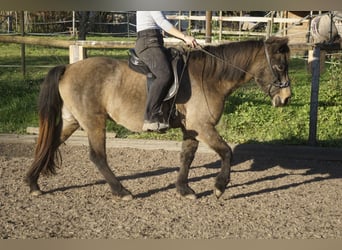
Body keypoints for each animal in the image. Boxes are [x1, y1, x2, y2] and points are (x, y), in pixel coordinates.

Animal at [25, 36, 292, 201]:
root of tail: (68, 68)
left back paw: (32, 183)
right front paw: (219, 187)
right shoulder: (203, 127)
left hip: (72, 121)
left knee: (49, 144)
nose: (287, 98)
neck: (209, 78)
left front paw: (184, 189)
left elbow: (187, 157)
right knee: (97, 156)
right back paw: (121, 191)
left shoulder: (192, 129)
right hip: (94, 122)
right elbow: (227, 152)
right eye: (280, 66)